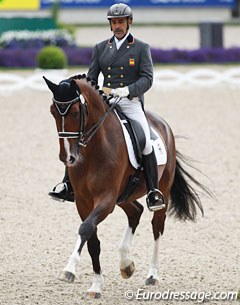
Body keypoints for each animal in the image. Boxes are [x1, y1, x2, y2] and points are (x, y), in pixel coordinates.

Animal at [43, 74, 208, 300]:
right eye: (52, 111)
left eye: (76, 112)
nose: (67, 157)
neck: (94, 148)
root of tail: (163, 124)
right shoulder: (84, 202)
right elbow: (92, 240)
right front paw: (96, 285)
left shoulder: (106, 198)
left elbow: (85, 228)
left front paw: (69, 269)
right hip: (123, 196)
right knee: (135, 211)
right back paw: (126, 264)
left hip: (159, 192)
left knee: (157, 227)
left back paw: (152, 275)